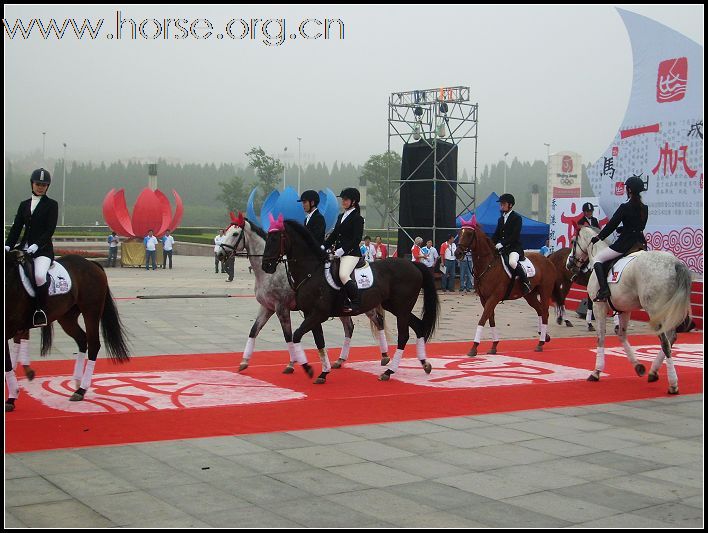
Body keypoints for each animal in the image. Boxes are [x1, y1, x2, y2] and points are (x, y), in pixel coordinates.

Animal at [4, 247, 130, 410]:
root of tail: (91, 263)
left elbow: (7, 362)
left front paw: (12, 396)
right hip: (67, 317)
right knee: (82, 340)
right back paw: (77, 381)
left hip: (91, 311)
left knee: (93, 344)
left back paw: (81, 389)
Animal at [218, 214, 390, 380]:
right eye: (225, 232)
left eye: (235, 234)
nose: (219, 254)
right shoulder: (267, 307)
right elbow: (254, 330)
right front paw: (244, 362)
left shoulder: (282, 308)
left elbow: (288, 335)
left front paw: (292, 364)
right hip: (342, 309)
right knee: (349, 328)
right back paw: (340, 360)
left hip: (366, 306)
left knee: (378, 321)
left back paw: (385, 356)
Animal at [262, 220, 436, 382]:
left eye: (275, 238)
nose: (266, 266)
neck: (312, 272)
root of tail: (413, 264)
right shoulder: (310, 314)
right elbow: (319, 342)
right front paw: (323, 373)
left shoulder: (318, 314)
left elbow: (297, 335)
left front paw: (308, 368)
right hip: (396, 307)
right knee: (418, 326)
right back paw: (424, 363)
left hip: (402, 308)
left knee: (404, 335)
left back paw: (389, 372)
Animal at [454, 219, 560, 354]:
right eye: (459, 232)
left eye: (469, 234)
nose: (457, 253)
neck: (488, 265)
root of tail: (548, 260)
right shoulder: (484, 298)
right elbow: (491, 319)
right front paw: (494, 346)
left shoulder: (494, 297)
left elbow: (483, 319)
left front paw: (474, 347)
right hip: (530, 295)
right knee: (540, 310)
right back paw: (544, 336)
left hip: (545, 291)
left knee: (545, 312)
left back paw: (540, 343)